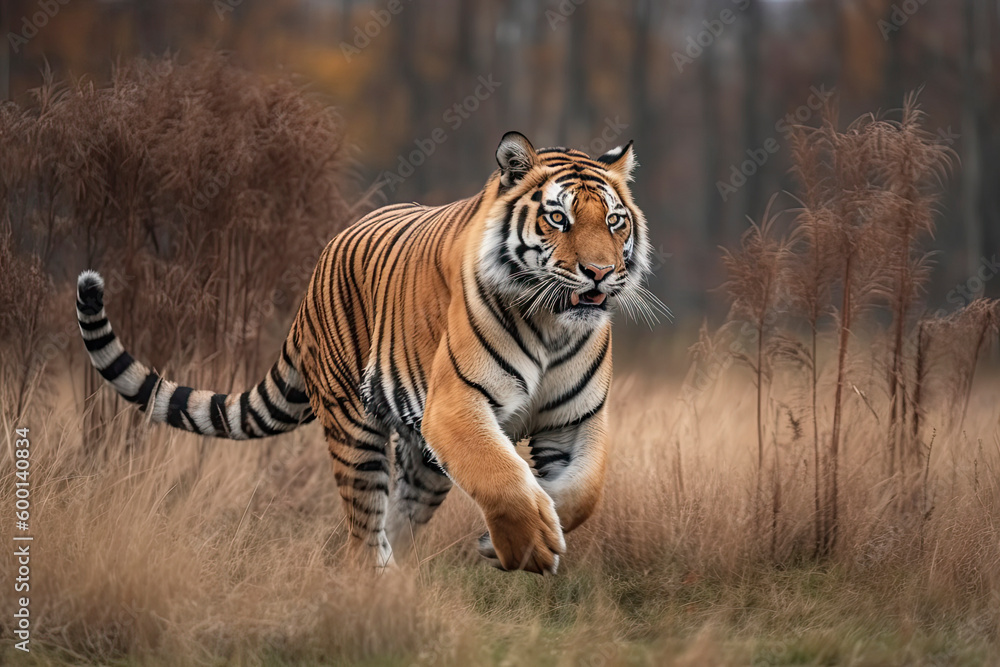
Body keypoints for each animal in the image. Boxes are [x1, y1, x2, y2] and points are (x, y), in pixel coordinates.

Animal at [75, 131, 661, 575]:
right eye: (559, 219)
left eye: (614, 221)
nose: (600, 273)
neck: (553, 325)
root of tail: (319, 266)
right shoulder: (456, 407)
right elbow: (501, 478)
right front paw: (529, 547)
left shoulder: (578, 419)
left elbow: (583, 491)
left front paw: (512, 538)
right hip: (354, 426)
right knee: (365, 529)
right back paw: (382, 589)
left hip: (423, 461)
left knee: (399, 517)